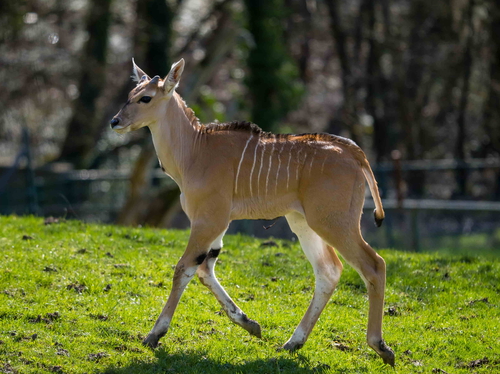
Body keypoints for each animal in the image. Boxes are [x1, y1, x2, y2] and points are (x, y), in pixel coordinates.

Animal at [109, 58, 394, 366]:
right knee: (329, 271)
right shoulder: (217, 225)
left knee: (374, 265)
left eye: (145, 98)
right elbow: (205, 270)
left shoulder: (208, 221)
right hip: (303, 223)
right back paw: (293, 343)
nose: (115, 122)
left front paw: (154, 334)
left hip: (334, 223)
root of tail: (355, 153)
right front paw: (250, 324)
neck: (195, 150)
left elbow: (184, 268)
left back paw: (380, 346)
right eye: (130, 94)